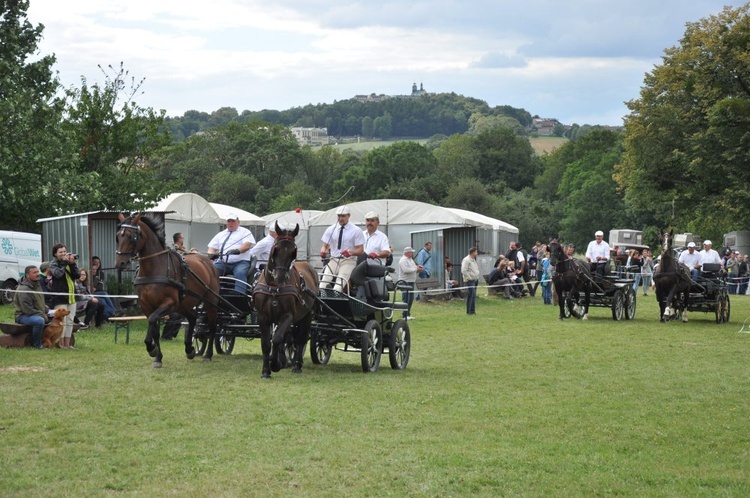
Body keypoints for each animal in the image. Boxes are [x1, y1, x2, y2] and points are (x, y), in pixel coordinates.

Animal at [114, 212, 220, 368]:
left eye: (131, 236)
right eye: (118, 236)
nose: (120, 263)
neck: (153, 269)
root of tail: (208, 261)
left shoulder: (169, 303)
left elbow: (152, 320)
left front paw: (151, 348)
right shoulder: (147, 305)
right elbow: (155, 330)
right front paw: (157, 357)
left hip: (210, 301)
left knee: (212, 325)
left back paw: (207, 354)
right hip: (183, 304)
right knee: (193, 317)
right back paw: (189, 349)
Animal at [253, 221, 320, 378]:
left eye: (293, 252)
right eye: (275, 250)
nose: (281, 277)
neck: (274, 287)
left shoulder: (288, 316)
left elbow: (277, 339)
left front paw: (275, 365)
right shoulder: (262, 317)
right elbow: (266, 343)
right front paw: (266, 370)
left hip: (307, 315)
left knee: (300, 339)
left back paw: (297, 365)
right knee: (289, 338)